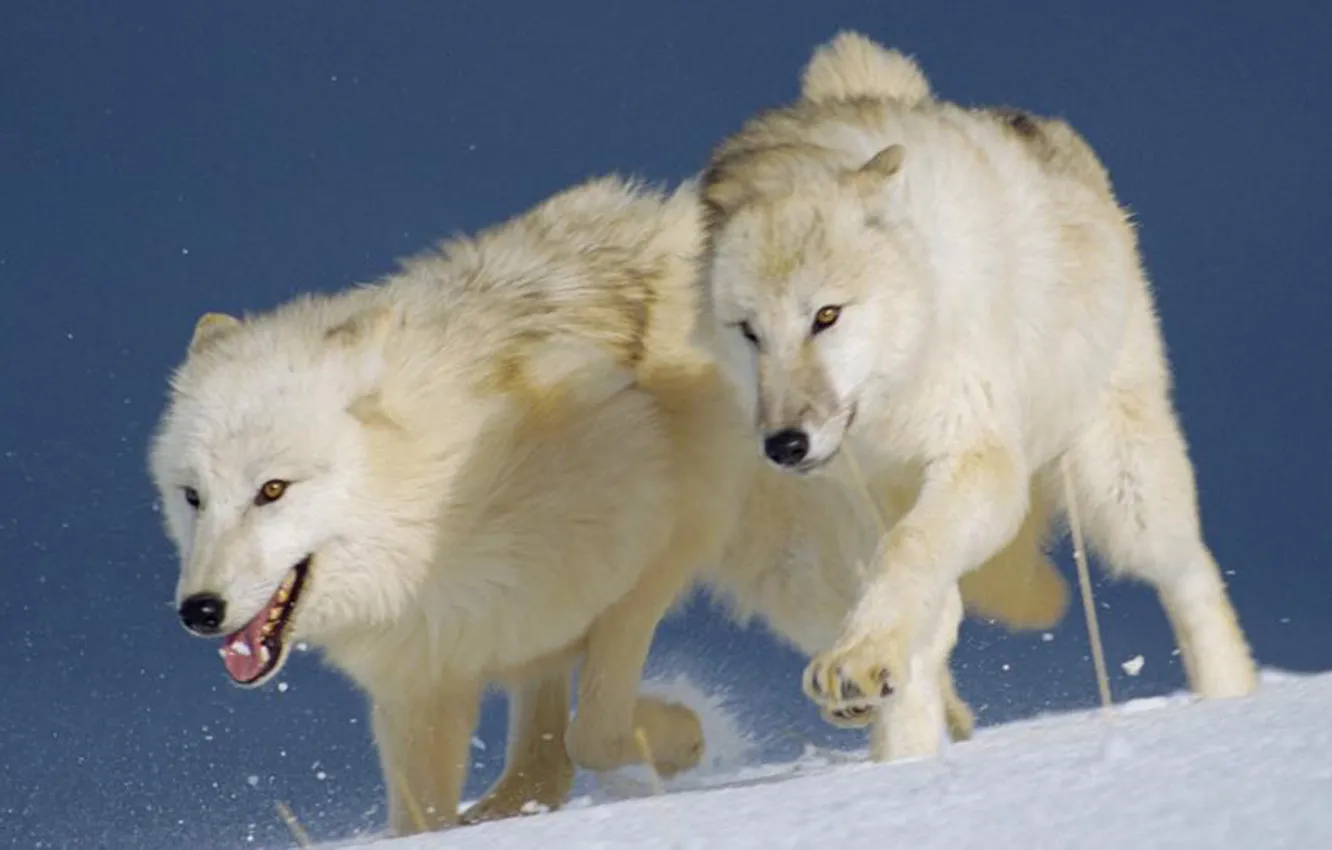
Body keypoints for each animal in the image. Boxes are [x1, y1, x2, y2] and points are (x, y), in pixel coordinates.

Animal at [149, 172, 1067, 834]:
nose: (200, 610)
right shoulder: (427, 671)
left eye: (272, 490)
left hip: (793, 572)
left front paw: (682, 734)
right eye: (193, 496)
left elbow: (592, 730)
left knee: (924, 631)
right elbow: (436, 812)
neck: (442, 499)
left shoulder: (654, 549)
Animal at [695, 31, 1259, 756]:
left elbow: (908, 550)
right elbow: (904, 594)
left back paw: (1234, 702)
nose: (785, 445)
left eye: (826, 315)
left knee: (1191, 572)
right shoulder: (858, 498)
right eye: (749, 332)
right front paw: (894, 742)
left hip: (1123, 494)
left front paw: (856, 664)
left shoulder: (980, 461)